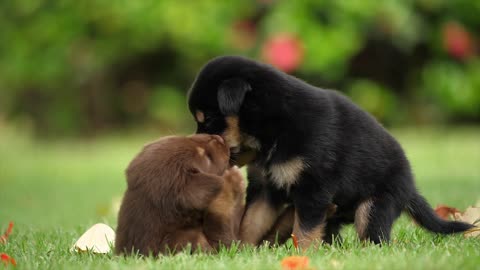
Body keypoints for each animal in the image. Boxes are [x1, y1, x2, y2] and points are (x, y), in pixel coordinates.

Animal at [115, 134, 244, 256]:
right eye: (207, 157)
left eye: (188, 138)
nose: (218, 137)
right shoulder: (195, 243)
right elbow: (224, 240)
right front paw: (230, 180)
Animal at [187, 55, 472, 249]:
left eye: (208, 120)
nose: (193, 141)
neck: (272, 131)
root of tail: (410, 187)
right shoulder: (266, 188)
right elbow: (251, 223)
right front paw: (243, 250)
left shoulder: (314, 188)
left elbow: (304, 230)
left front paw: (303, 255)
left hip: (375, 205)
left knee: (373, 237)